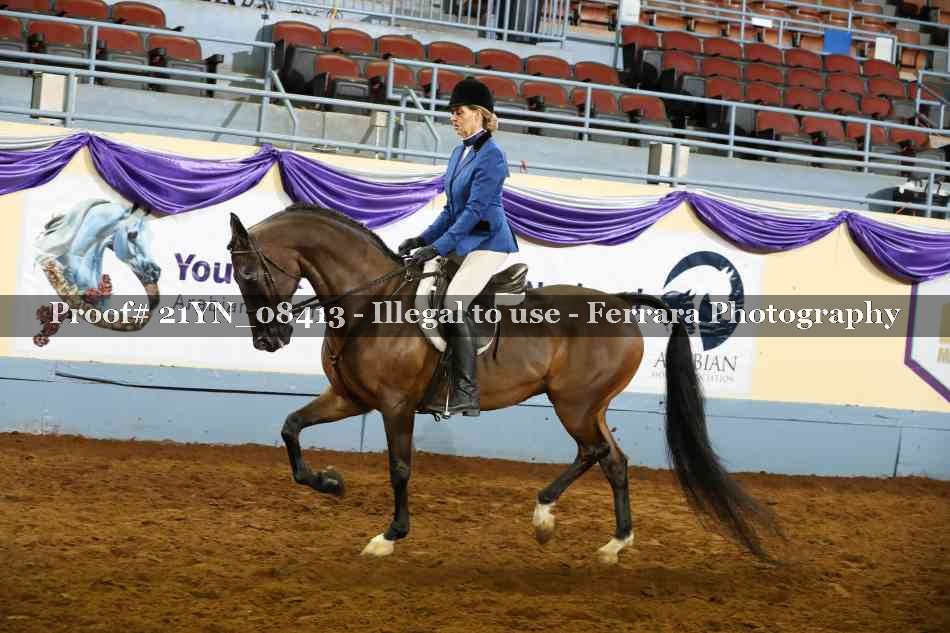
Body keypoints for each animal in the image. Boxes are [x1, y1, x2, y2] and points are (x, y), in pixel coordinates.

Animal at [227, 203, 779, 564]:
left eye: (249, 273)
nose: (267, 341)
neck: (371, 304)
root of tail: (620, 302)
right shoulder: (349, 397)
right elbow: (290, 427)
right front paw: (329, 483)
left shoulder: (394, 405)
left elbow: (400, 468)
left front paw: (389, 536)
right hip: (589, 405)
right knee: (612, 460)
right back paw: (611, 543)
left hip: (574, 404)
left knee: (595, 452)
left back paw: (546, 516)